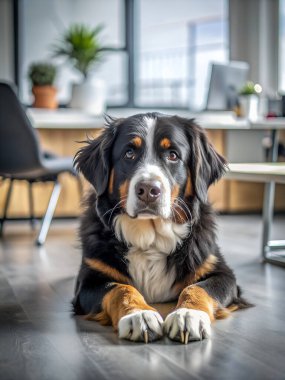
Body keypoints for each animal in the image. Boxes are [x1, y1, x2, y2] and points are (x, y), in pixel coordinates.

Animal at [72, 112, 248, 344]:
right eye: (129, 153)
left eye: (173, 155)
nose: (148, 190)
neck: (151, 238)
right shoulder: (89, 280)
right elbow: (121, 288)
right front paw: (139, 315)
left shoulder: (222, 274)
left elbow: (197, 287)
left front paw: (187, 314)